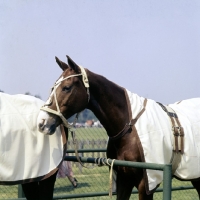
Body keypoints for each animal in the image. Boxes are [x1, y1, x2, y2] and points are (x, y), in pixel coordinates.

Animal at [36, 55, 200, 199]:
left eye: (66, 87)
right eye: (53, 87)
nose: (42, 123)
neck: (129, 127)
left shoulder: (146, 184)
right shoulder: (123, 180)